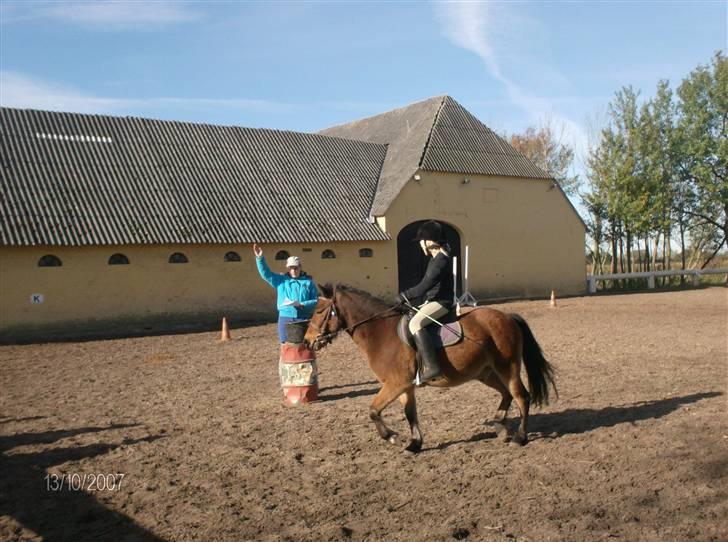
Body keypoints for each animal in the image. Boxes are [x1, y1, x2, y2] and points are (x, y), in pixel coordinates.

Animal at [302, 284, 556, 454]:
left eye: (318, 311)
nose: (307, 341)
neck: (380, 332)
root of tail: (508, 317)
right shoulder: (405, 387)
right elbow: (410, 414)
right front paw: (414, 445)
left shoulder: (394, 384)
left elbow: (373, 410)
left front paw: (392, 437)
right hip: (485, 372)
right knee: (506, 394)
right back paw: (500, 428)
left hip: (507, 367)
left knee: (521, 396)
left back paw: (520, 437)